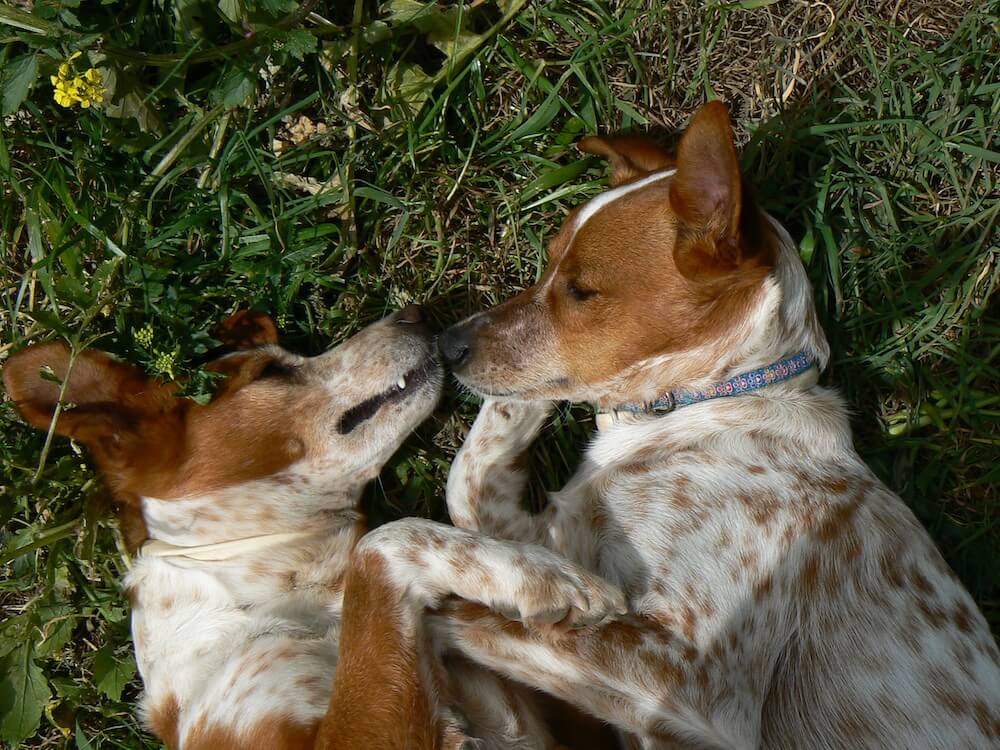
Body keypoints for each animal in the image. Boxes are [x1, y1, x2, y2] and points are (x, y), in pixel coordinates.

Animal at [438, 104, 1000, 750]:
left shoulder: (696, 678)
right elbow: (467, 482)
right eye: (547, 264)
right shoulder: (560, 542)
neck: (699, 406)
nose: (446, 344)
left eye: (581, 289)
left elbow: (464, 612)